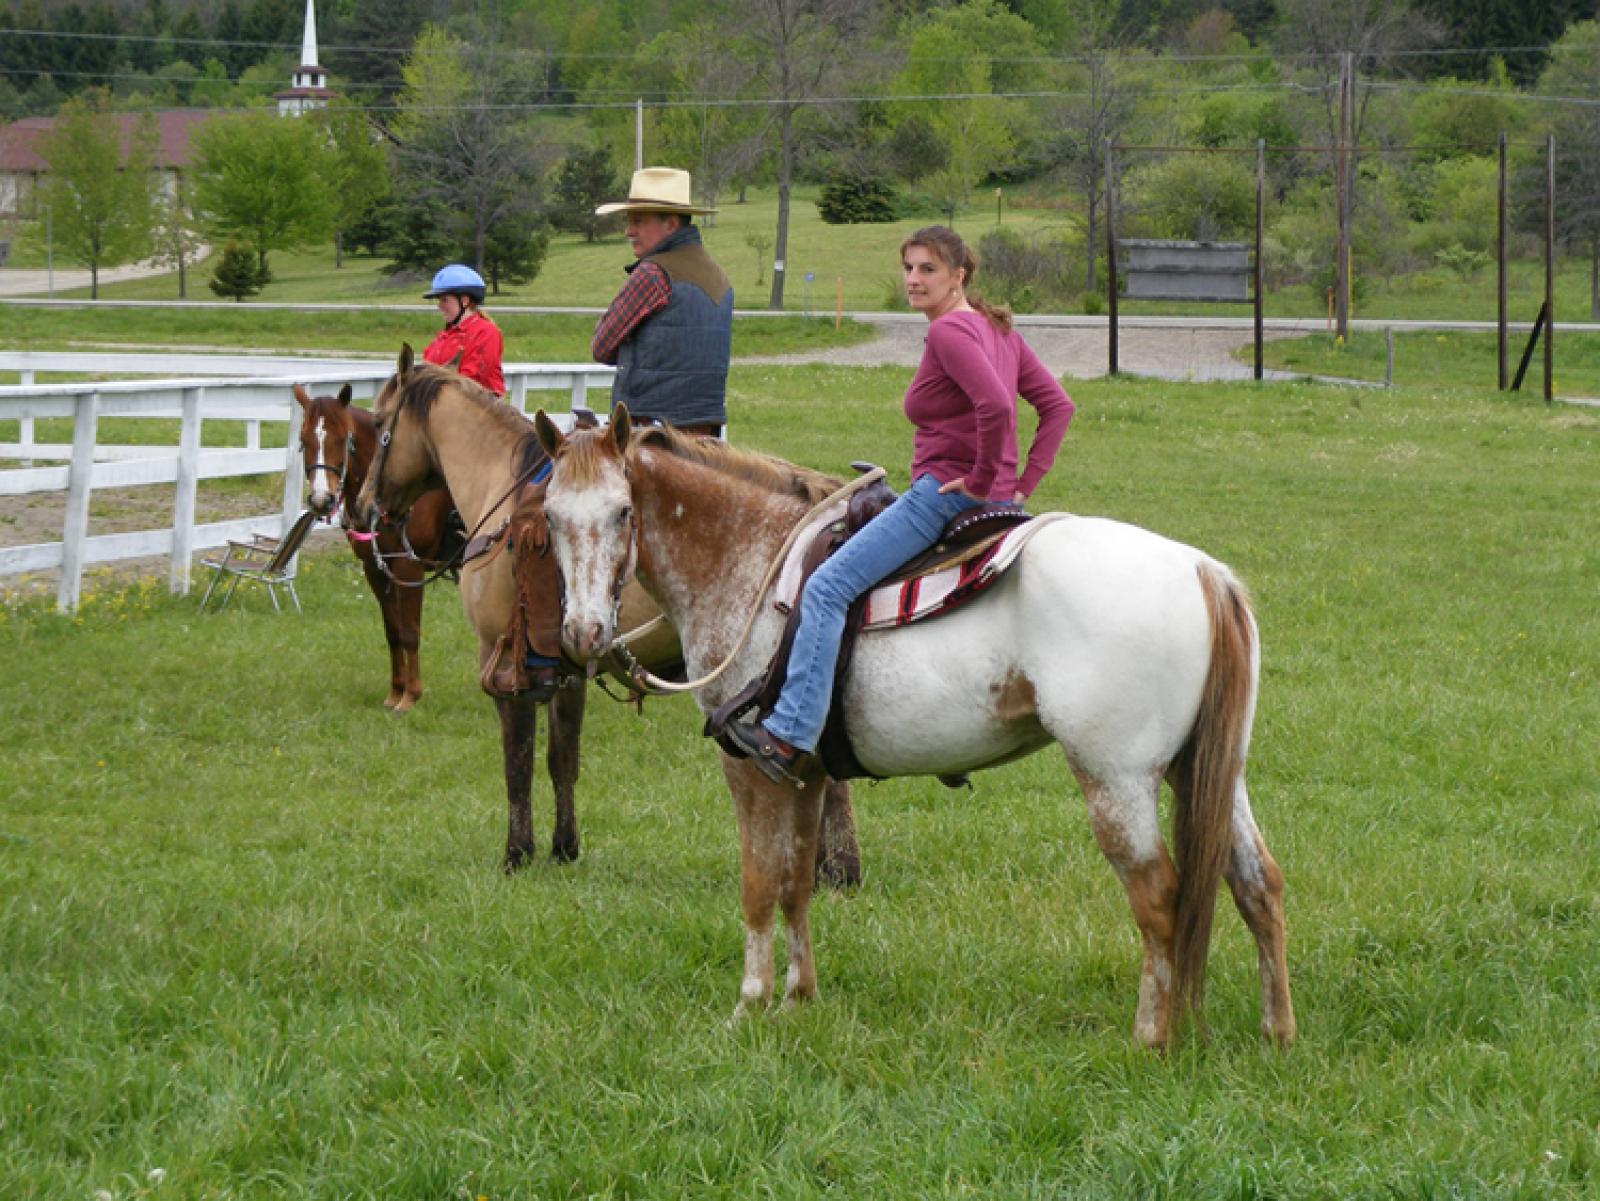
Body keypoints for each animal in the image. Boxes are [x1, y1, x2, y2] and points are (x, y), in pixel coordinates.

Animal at [293, 383, 457, 713]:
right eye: (304, 441)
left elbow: (410, 632)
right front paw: (396, 691)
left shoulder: (408, 566)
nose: (321, 500)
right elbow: (393, 632)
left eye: (344, 439)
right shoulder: (375, 568)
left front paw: (411, 696)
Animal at [353, 347, 862, 883]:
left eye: (380, 422)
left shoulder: (502, 663)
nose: (362, 507)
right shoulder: (567, 668)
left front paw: (517, 853)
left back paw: (836, 867)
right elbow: (562, 759)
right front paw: (563, 847)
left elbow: (518, 764)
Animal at [532, 408, 1295, 1050]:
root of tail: (1202, 571)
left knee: (1159, 896)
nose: (584, 633)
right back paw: (1276, 1032)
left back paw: (1151, 1038)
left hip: (1116, 779)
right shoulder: (804, 772)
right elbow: (796, 881)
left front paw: (748, 1003)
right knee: (1258, 882)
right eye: (550, 517)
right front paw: (798, 998)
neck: (752, 557)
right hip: (1209, 770)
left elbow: (757, 880)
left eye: (623, 512)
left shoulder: (749, 766)